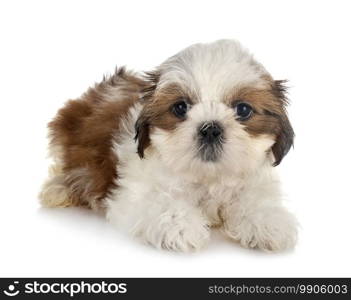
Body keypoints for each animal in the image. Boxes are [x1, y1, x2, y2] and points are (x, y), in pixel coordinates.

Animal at [41, 39, 300, 251]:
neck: (208, 177)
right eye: (180, 107)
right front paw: (183, 226)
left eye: (243, 110)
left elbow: (256, 200)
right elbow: (160, 202)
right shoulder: (131, 194)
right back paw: (58, 189)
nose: (210, 128)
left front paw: (268, 222)